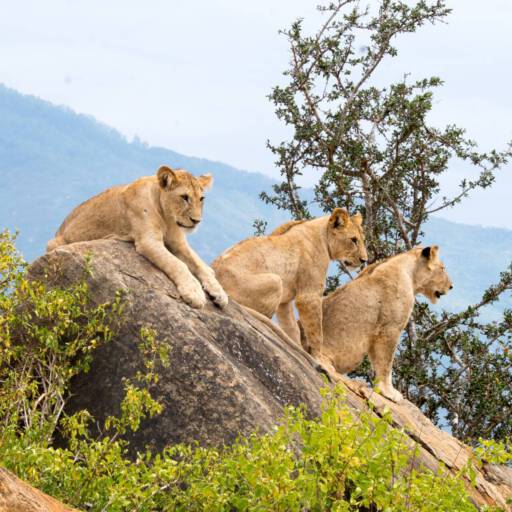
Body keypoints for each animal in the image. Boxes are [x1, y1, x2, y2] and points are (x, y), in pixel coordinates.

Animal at [47, 165, 228, 308]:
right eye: (184, 197)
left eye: (201, 198)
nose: (196, 221)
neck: (167, 217)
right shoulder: (148, 241)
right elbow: (178, 264)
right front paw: (194, 293)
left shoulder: (178, 242)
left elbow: (200, 265)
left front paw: (219, 292)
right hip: (53, 243)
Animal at [212, 207, 368, 356]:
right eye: (354, 240)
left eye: (362, 239)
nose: (364, 260)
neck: (323, 235)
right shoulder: (308, 296)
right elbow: (316, 331)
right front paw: (318, 357)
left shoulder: (285, 302)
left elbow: (292, 328)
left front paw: (298, 348)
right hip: (275, 281)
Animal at [320, 246, 452, 402]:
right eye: (442, 268)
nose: (451, 286)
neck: (410, 274)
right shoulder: (389, 329)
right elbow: (386, 363)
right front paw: (389, 392)